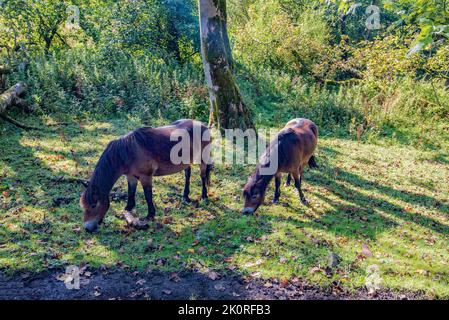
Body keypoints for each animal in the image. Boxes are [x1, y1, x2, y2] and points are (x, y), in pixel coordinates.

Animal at [79, 120, 213, 232]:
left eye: (94, 205)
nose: (87, 228)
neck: (127, 152)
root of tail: (203, 125)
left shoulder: (146, 177)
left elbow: (148, 195)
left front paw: (150, 215)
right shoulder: (131, 177)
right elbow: (131, 194)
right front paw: (128, 209)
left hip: (202, 159)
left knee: (203, 176)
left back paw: (204, 196)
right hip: (186, 162)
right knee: (187, 175)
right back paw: (185, 197)